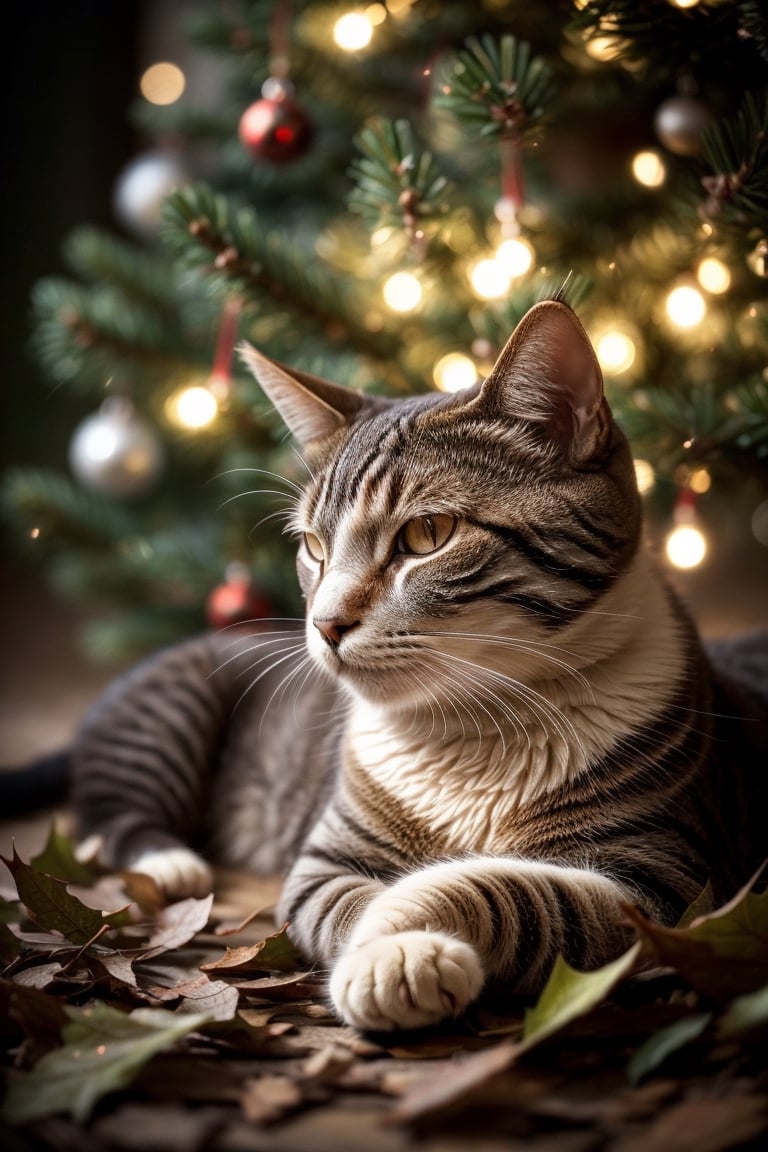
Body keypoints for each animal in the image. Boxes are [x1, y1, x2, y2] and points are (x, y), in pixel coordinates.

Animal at [45, 301, 768, 1032]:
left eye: (427, 536)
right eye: (313, 547)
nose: (324, 623)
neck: (476, 729)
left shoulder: (665, 882)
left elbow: (502, 886)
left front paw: (401, 937)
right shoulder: (324, 858)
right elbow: (349, 901)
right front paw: (390, 953)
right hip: (171, 712)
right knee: (107, 812)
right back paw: (170, 864)